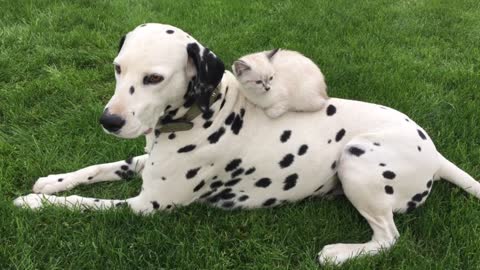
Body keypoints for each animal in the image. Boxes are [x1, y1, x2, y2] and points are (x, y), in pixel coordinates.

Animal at [14, 22, 480, 264]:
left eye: (154, 77)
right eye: (117, 68)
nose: (108, 121)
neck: (208, 111)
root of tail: (435, 153)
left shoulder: (145, 206)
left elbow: (83, 204)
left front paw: (33, 203)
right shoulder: (142, 164)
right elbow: (96, 170)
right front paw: (52, 181)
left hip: (358, 159)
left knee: (388, 238)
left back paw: (340, 252)